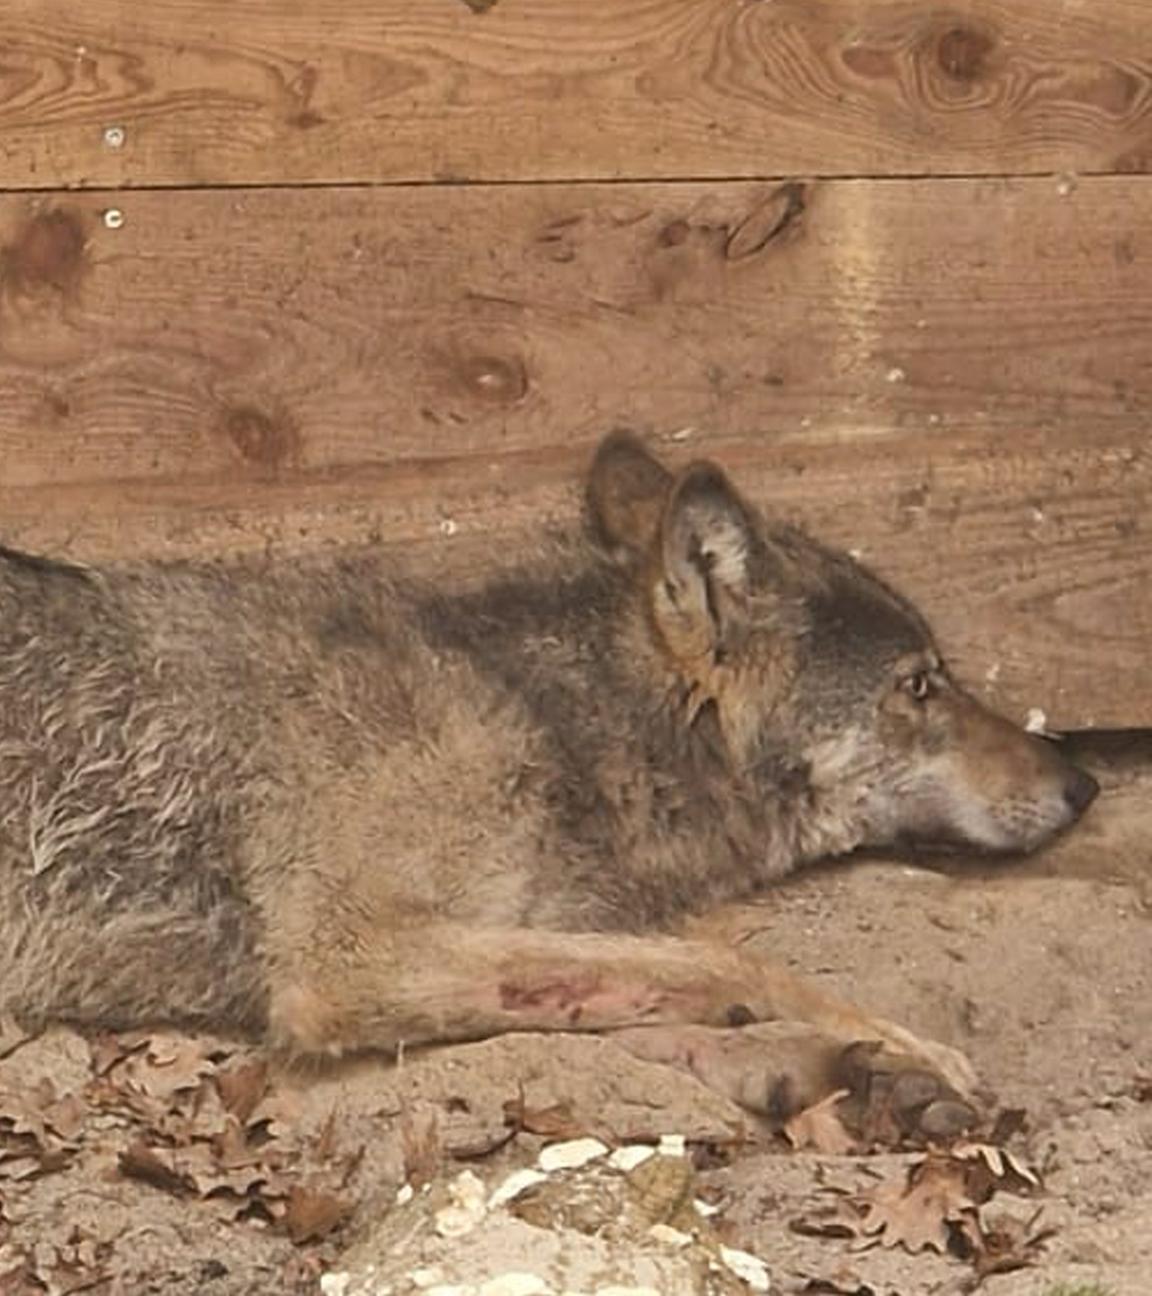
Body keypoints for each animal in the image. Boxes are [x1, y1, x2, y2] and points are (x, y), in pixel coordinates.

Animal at [0, 433, 1097, 1135]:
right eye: (919, 685)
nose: (1083, 781)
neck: (544, 718)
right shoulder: (347, 962)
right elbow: (730, 966)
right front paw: (900, 1046)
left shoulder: (495, 947)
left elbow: (647, 1008)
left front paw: (853, 1074)